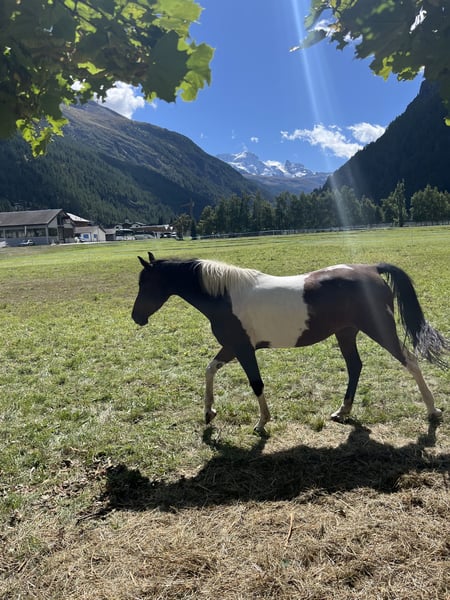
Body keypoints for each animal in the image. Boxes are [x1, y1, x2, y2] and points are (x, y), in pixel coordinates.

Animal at [132, 252, 448, 433]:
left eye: (145, 283)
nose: (136, 317)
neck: (224, 295)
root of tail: (370, 268)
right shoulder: (232, 347)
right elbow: (209, 369)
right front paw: (209, 413)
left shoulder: (243, 348)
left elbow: (256, 383)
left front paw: (262, 422)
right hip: (346, 332)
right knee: (355, 366)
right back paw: (342, 411)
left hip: (379, 329)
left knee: (410, 360)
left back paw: (432, 410)